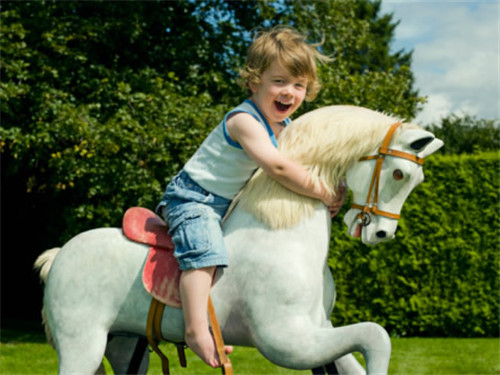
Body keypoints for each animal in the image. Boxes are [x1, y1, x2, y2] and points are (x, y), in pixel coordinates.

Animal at [34, 106, 442, 375]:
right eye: (400, 174)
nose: (382, 233)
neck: (281, 231)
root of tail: (59, 255)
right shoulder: (286, 341)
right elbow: (377, 335)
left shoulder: (321, 329)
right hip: (81, 344)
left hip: (122, 344)